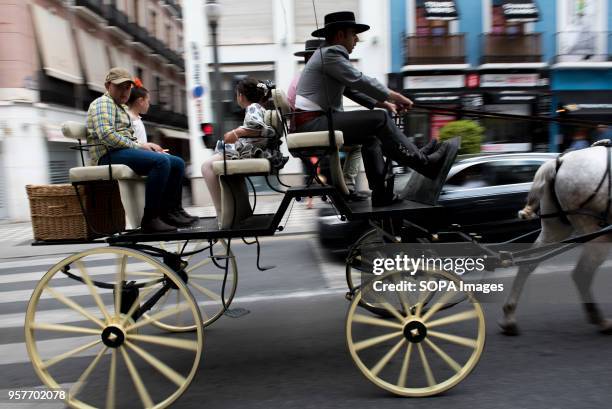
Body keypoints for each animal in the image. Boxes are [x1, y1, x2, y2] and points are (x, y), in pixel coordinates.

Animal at [500, 145, 608, 334]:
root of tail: (559, 162)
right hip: (595, 230)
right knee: (582, 273)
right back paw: (599, 319)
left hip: (556, 227)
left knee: (528, 263)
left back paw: (509, 316)